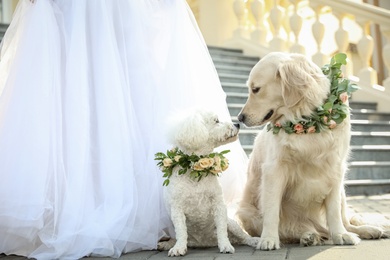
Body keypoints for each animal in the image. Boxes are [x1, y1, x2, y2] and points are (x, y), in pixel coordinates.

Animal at [157, 109, 260, 256]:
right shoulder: (177, 209)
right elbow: (181, 232)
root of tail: (204, 242)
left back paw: (253, 240)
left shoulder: (219, 204)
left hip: (232, 224)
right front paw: (178, 248)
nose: (237, 124)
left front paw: (225, 245)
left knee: (243, 237)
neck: (195, 170)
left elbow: (222, 230)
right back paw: (166, 244)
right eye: (216, 121)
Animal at [235, 52, 386, 250]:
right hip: (247, 212)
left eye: (255, 89)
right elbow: (272, 211)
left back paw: (367, 230)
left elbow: (334, 212)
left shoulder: (335, 169)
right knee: (294, 230)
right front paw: (268, 239)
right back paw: (308, 235)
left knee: (345, 222)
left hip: (343, 192)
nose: (240, 118)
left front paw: (340, 235)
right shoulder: (274, 170)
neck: (306, 121)